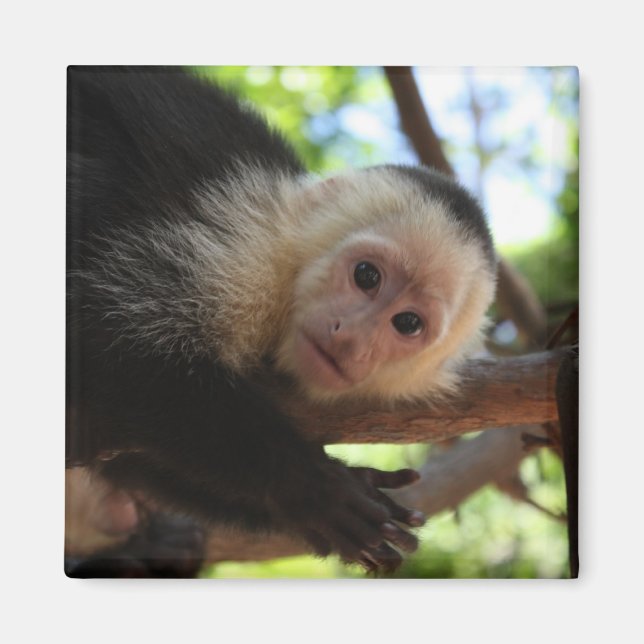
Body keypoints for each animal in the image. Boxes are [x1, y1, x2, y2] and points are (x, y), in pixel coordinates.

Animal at [66, 67, 497, 574]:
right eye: (366, 276)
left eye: (407, 323)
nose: (352, 338)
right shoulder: (245, 253)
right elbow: (113, 345)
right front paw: (312, 487)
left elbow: (129, 457)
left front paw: (313, 507)